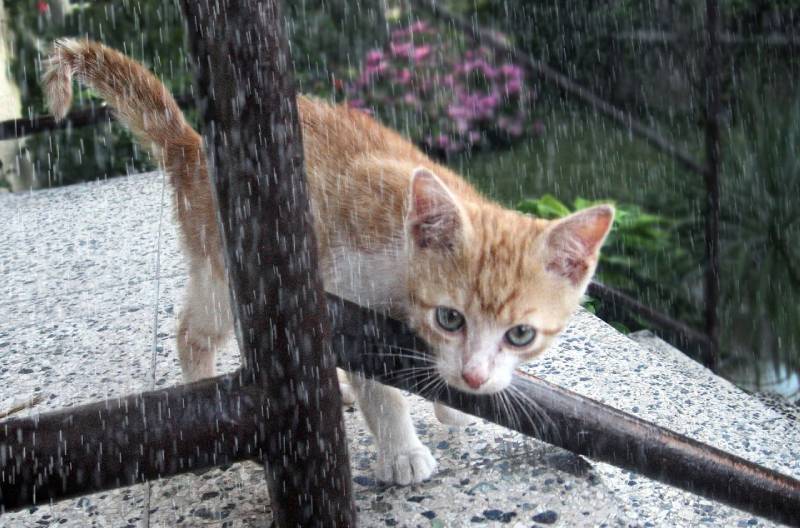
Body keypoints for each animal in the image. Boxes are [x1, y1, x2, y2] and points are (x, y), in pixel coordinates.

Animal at [43, 40, 616, 486]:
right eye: (450, 317)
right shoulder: (353, 292)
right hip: (226, 270)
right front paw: (403, 451)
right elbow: (380, 388)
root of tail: (191, 145)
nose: (474, 377)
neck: (402, 246)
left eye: (521, 335)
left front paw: (452, 401)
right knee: (193, 332)